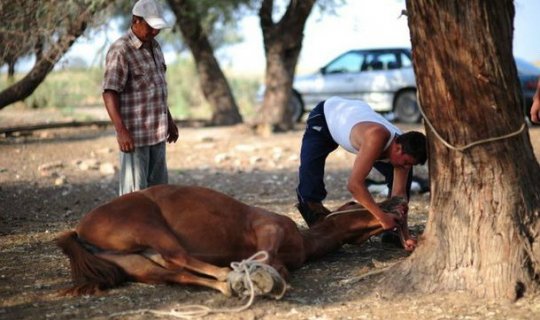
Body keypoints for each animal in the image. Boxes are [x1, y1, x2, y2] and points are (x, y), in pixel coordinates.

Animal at [57, 185, 416, 298]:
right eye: (353, 201)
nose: (401, 200)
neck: (303, 240)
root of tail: (79, 230)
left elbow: (278, 267)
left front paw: (260, 278)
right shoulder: (268, 229)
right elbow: (266, 258)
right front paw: (256, 276)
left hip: (137, 263)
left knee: (175, 272)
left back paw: (227, 285)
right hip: (149, 227)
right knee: (178, 258)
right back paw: (230, 278)